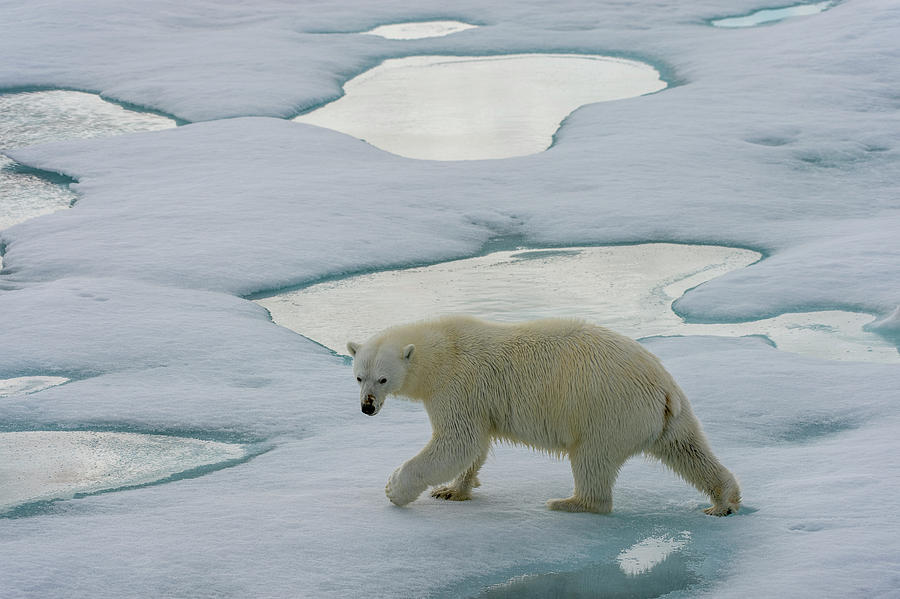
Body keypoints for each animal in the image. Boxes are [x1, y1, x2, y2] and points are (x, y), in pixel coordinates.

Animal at [348, 316, 740, 516]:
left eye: (383, 378)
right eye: (358, 376)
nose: (367, 406)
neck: (444, 347)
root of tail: (662, 388)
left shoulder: (459, 385)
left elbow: (457, 441)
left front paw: (395, 488)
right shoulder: (475, 400)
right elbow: (475, 445)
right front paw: (452, 490)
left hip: (606, 410)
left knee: (592, 459)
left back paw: (569, 502)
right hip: (667, 415)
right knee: (688, 449)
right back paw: (724, 501)